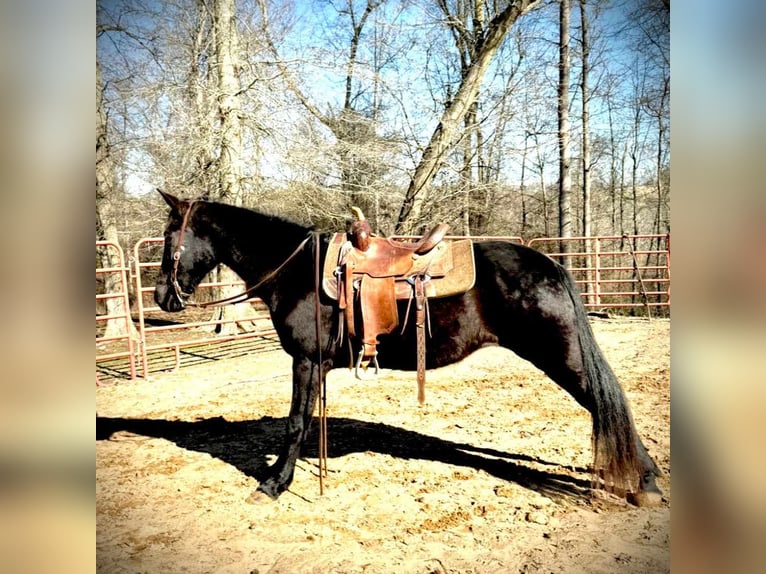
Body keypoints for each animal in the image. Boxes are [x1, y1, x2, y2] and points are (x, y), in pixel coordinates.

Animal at [153, 191, 664, 506]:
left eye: (168, 236)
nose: (161, 296)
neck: (298, 270)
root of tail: (550, 265)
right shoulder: (315, 365)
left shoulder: (306, 361)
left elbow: (296, 423)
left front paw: (275, 483)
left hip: (562, 356)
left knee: (606, 402)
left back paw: (645, 481)